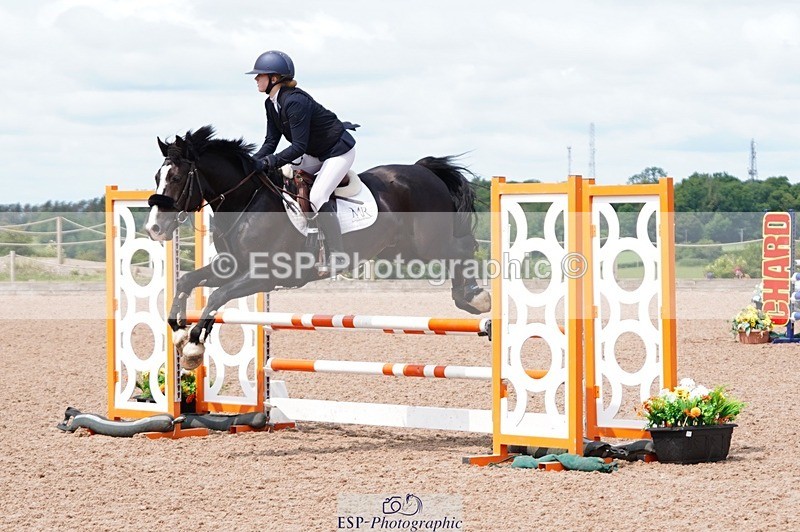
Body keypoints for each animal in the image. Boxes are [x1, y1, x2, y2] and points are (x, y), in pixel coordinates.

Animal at [145, 125, 491, 369]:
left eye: (176, 177)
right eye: (157, 175)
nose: (154, 228)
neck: (247, 201)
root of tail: (422, 170)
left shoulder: (264, 275)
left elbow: (217, 296)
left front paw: (193, 345)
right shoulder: (232, 267)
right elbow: (188, 281)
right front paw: (179, 331)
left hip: (428, 244)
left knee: (464, 248)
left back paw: (475, 297)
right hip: (403, 250)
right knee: (457, 252)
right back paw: (468, 298)